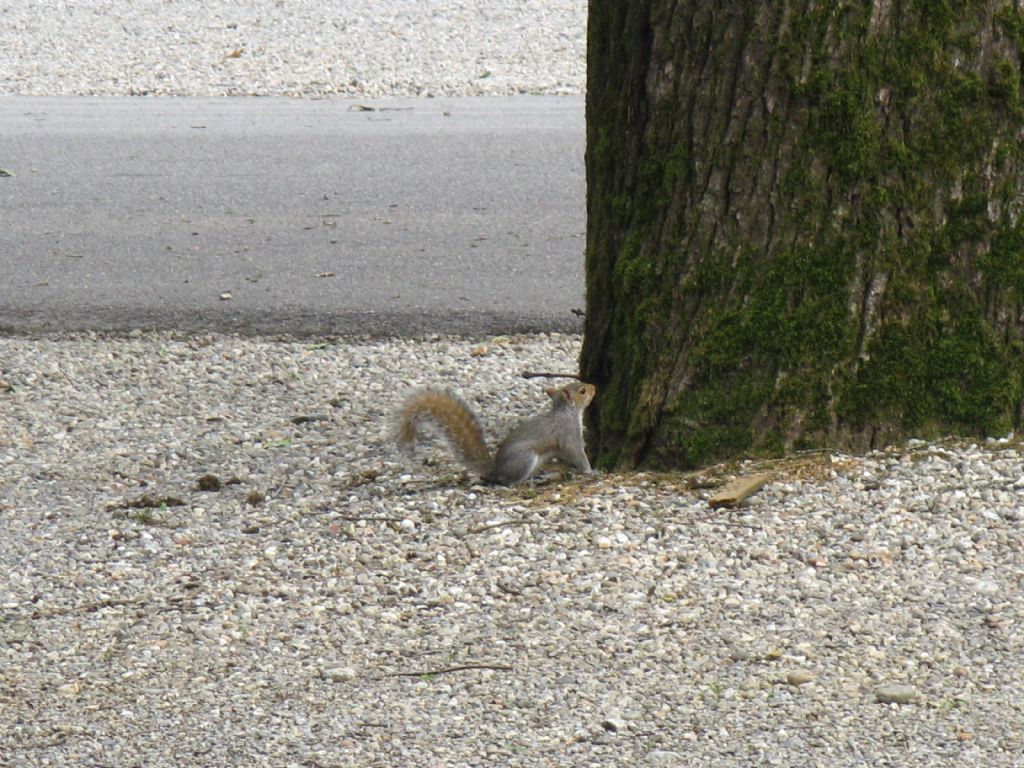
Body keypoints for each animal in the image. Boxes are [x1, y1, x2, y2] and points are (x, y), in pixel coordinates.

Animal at [395, 385, 598, 487]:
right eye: (582, 391)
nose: (594, 386)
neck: (566, 412)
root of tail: (496, 470)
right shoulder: (568, 434)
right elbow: (576, 454)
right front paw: (590, 470)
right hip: (525, 457)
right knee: (509, 481)